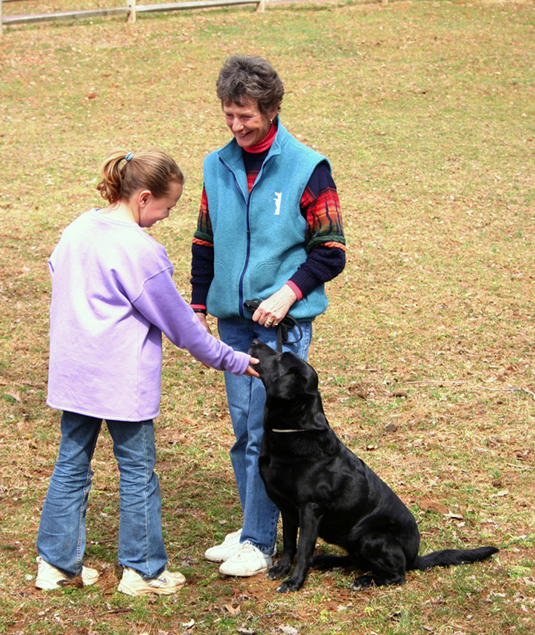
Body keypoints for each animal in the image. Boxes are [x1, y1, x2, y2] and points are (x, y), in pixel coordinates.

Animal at [249, 340, 500, 592]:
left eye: (280, 357)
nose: (254, 341)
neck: (294, 430)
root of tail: (414, 558)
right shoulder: (288, 510)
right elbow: (290, 544)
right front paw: (282, 569)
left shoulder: (310, 510)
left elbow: (302, 550)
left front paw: (294, 582)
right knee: (355, 560)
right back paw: (329, 560)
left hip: (371, 538)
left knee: (397, 575)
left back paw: (365, 580)